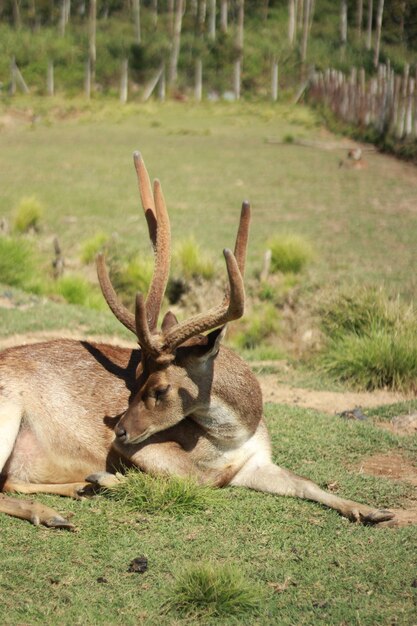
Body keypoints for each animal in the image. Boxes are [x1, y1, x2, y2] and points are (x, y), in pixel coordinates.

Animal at [0, 151, 394, 528]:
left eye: (158, 388)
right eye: (135, 379)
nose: (120, 431)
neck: (231, 437)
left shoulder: (258, 460)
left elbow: (305, 482)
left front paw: (372, 510)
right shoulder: (147, 449)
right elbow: (200, 479)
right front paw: (108, 478)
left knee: (8, 481)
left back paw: (74, 492)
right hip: (8, 416)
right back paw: (56, 508)